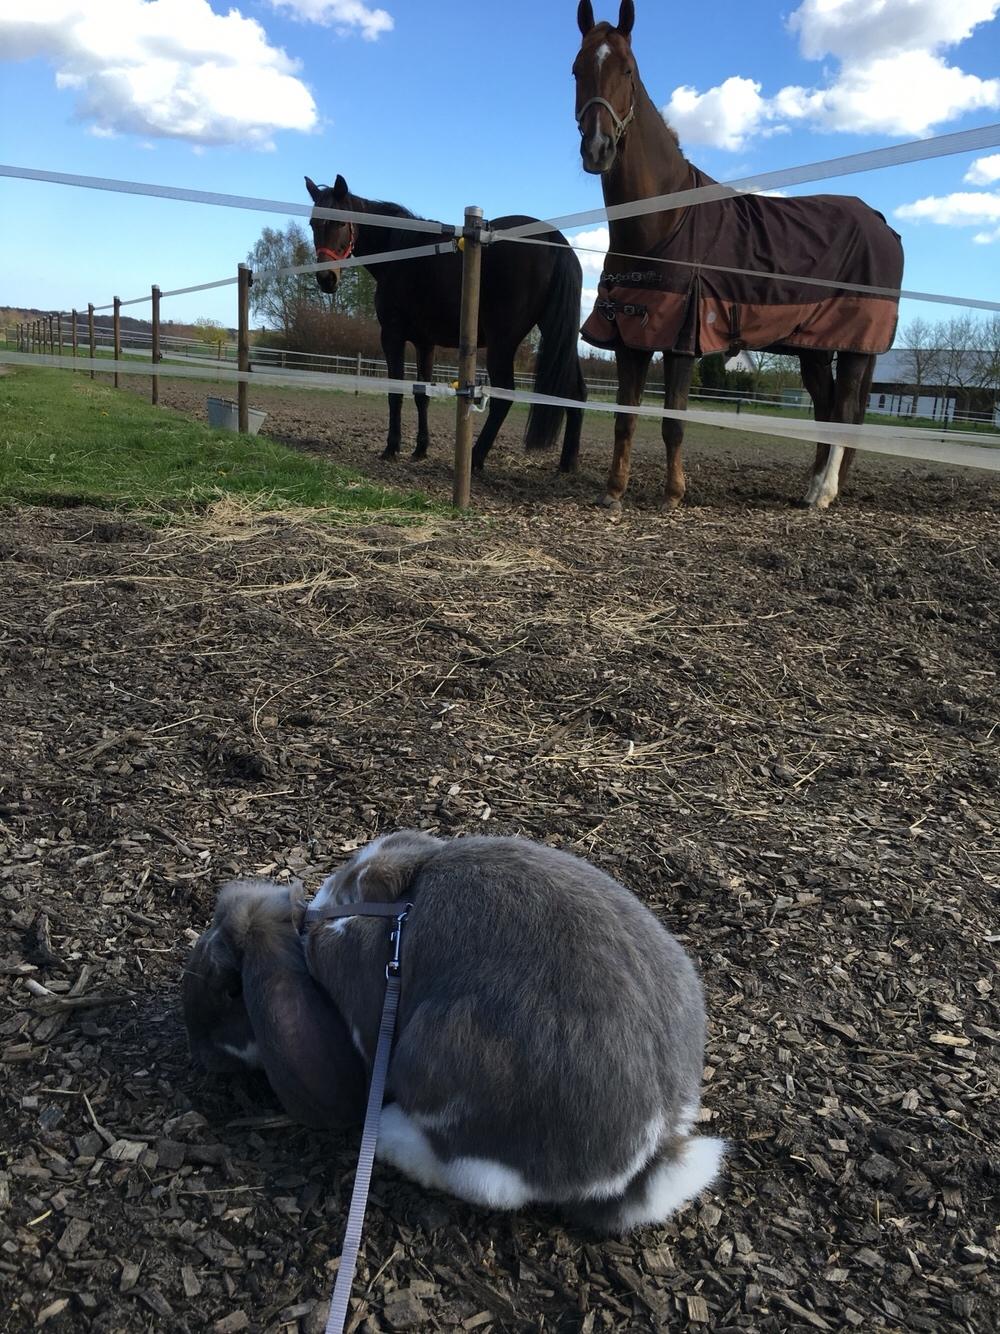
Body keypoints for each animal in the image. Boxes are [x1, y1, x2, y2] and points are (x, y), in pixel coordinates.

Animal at [304, 827, 720, 1232]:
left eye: (351, 891)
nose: (310, 915)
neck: (401, 908)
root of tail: (650, 1145)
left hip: (439, 1060)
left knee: (487, 1184)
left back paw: (390, 1136)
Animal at [305, 174, 586, 472]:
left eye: (338, 222)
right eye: (313, 224)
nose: (326, 279)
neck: (402, 253)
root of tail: (554, 239)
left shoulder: (392, 335)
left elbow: (396, 393)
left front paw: (392, 448)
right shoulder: (424, 343)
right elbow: (421, 395)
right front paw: (420, 448)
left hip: (503, 342)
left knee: (504, 396)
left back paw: (475, 457)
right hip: (556, 335)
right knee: (576, 392)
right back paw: (567, 464)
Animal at [570, 0, 906, 512]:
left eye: (628, 71)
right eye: (577, 70)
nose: (598, 149)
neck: (664, 221)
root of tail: (881, 223)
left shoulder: (681, 339)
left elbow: (673, 422)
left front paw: (673, 495)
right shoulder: (629, 335)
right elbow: (625, 418)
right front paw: (613, 492)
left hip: (853, 347)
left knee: (844, 408)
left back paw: (824, 494)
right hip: (813, 349)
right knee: (825, 406)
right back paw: (810, 489)